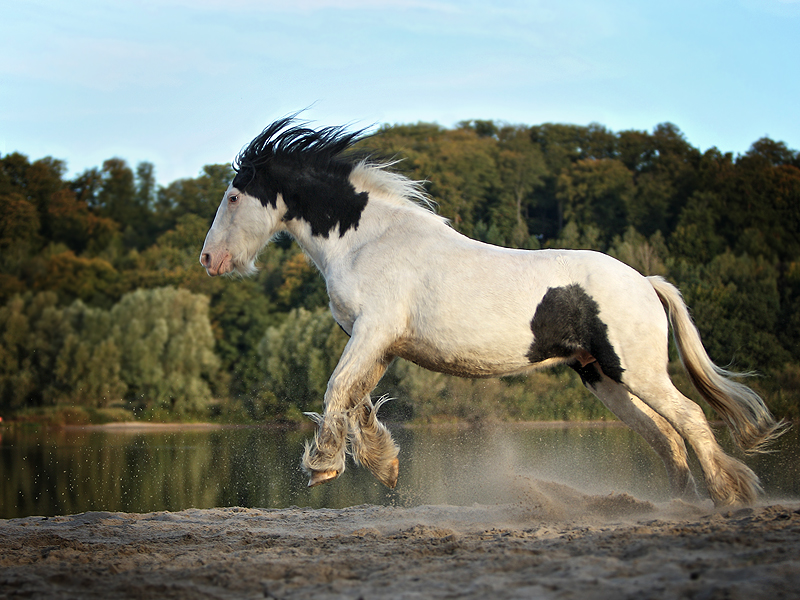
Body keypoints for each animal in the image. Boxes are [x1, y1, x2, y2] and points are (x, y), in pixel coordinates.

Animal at [197, 115, 784, 504]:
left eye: (234, 196)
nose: (208, 259)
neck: (365, 240)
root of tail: (645, 281)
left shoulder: (372, 332)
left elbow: (338, 390)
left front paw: (321, 467)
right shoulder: (377, 343)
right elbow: (357, 400)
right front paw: (385, 468)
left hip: (635, 371)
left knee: (689, 420)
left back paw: (728, 494)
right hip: (602, 377)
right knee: (665, 437)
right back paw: (675, 504)